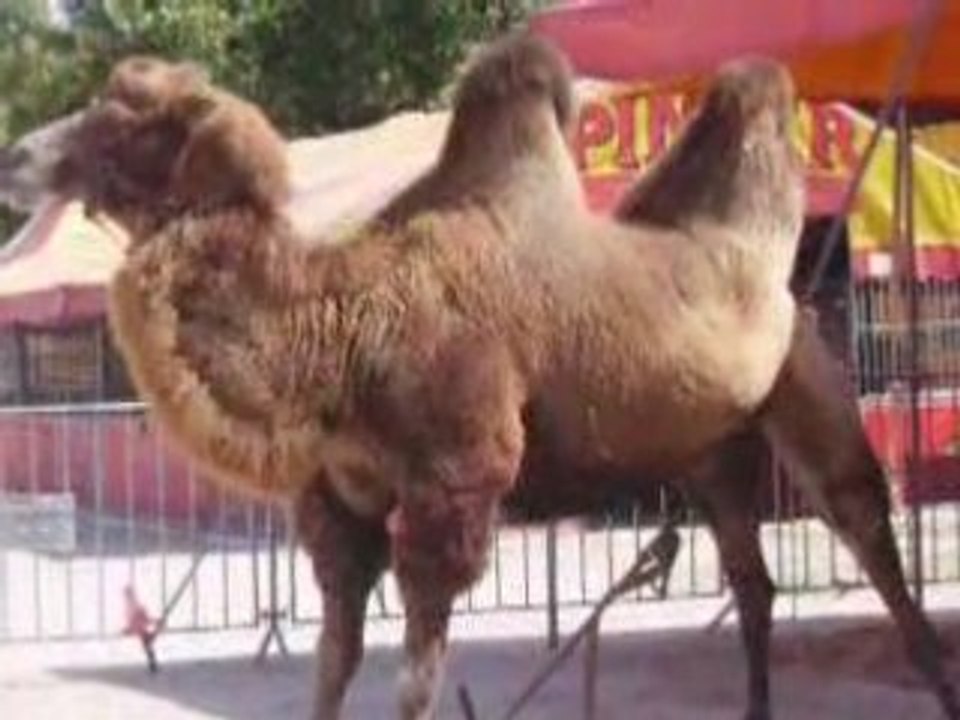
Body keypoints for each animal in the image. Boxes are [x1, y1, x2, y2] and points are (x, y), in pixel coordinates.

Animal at [0, 34, 954, 720]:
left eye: (134, 114)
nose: (19, 155)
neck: (340, 326)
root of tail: (782, 285)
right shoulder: (339, 505)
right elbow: (331, 665)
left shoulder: (452, 486)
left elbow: (412, 685)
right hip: (711, 455)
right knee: (753, 585)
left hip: (809, 389)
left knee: (867, 529)